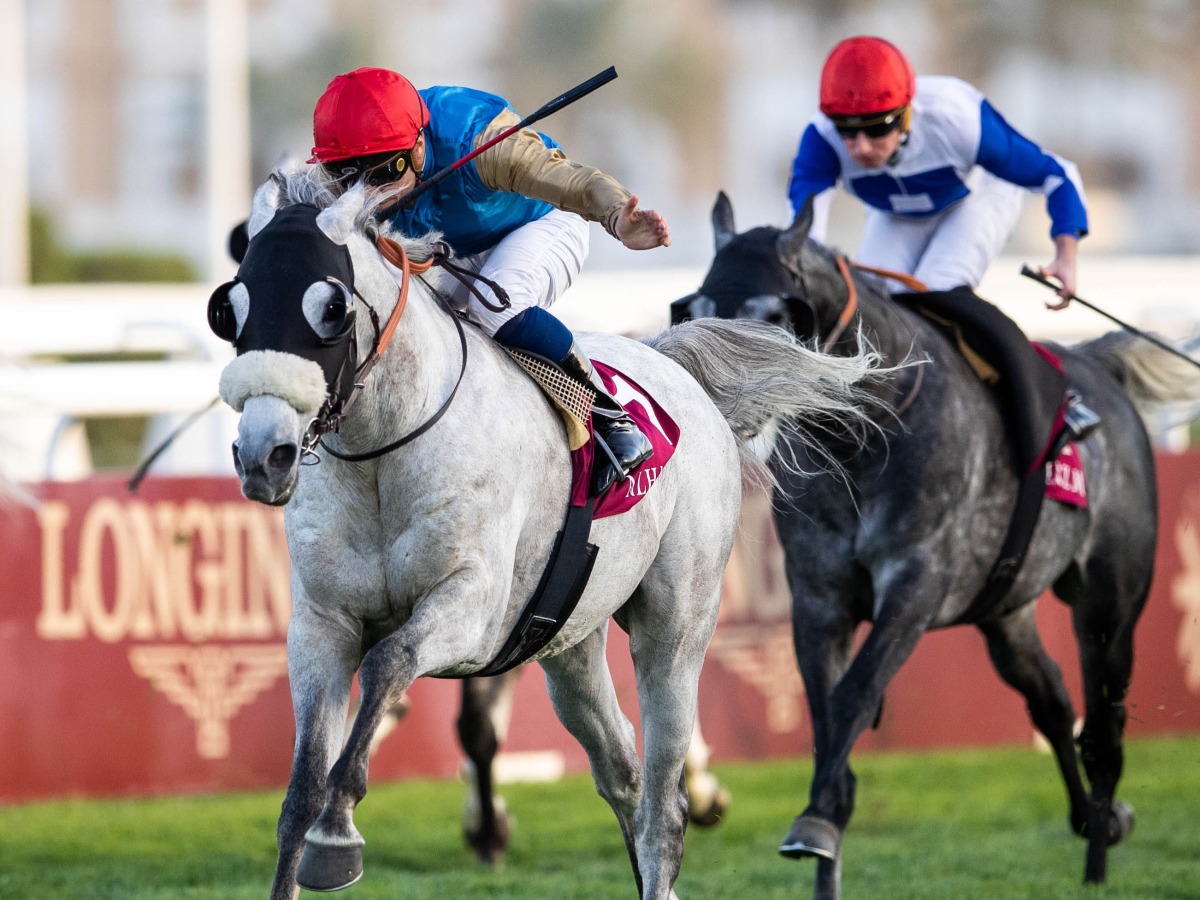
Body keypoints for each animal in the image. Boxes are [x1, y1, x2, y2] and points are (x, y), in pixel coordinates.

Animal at [213, 170, 883, 900]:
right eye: (229, 309)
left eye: (330, 308)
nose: (264, 455)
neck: (384, 455)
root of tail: (673, 364)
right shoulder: (322, 623)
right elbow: (301, 789)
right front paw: (320, 830)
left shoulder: (472, 607)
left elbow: (389, 661)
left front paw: (337, 833)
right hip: (569, 646)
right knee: (622, 774)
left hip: (677, 627)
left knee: (662, 800)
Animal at [676, 192, 1200, 900]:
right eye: (697, 307)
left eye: (770, 314)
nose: (709, 395)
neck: (864, 439)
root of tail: (1099, 370)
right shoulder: (819, 597)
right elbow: (825, 712)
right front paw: (826, 830)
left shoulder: (917, 584)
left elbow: (855, 692)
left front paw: (816, 818)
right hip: (1006, 614)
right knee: (1052, 700)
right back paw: (1092, 819)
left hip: (1109, 606)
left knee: (1104, 727)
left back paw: (1098, 856)